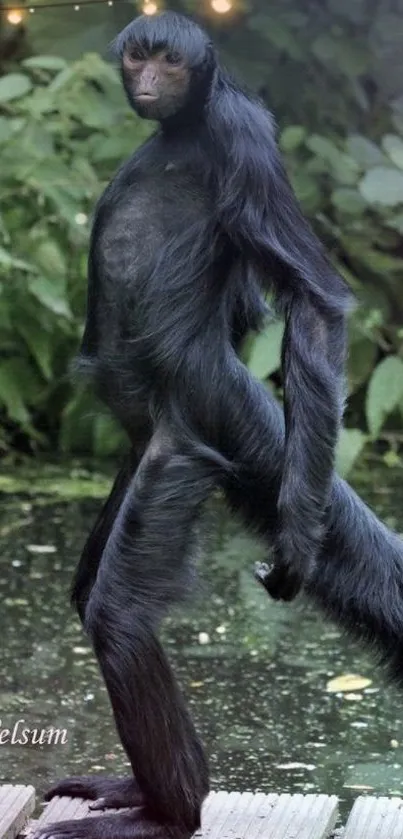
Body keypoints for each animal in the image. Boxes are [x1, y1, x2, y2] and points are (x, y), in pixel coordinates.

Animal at [35, 11, 403, 839]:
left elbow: (314, 301)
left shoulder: (244, 136)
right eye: (139, 59)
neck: (186, 128)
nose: (148, 81)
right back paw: (141, 792)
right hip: (140, 450)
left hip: (175, 450)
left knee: (118, 615)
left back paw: (167, 814)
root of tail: (215, 372)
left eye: (169, 63)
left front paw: (297, 539)